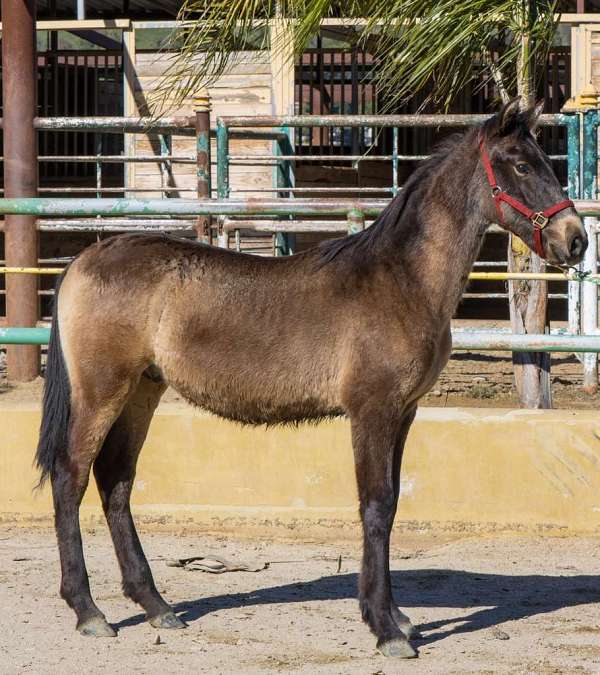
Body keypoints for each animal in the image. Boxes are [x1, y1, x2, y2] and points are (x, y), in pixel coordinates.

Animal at [35, 99, 586, 659]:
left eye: (545, 160)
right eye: (521, 165)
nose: (576, 240)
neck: (401, 280)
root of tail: (83, 259)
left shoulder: (404, 414)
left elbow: (390, 506)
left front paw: (397, 617)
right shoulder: (372, 411)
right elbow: (376, 506)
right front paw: (386, 630)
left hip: (143, 390)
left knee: (116, 481)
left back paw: (157, 606)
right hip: (102, 392)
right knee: (70, 477)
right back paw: (89, 611)